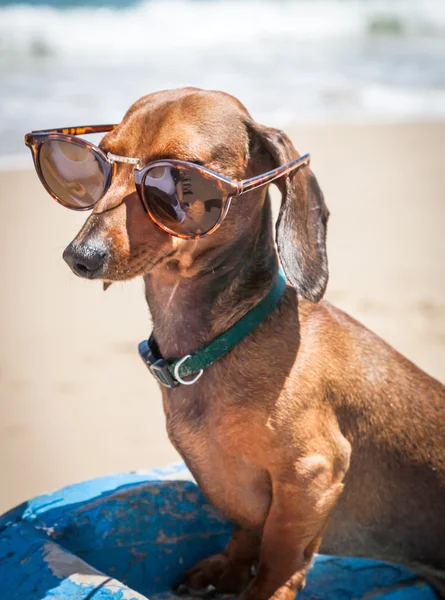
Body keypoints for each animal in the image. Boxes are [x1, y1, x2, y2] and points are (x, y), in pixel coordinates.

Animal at [59, 89, 444, 600]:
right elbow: (245, 529)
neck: (217, 346)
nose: (79, 257)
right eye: (101, 159)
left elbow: (279, 553)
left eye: (177, 178)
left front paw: (264, 589)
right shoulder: (231, 484)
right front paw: (230, 568)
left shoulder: (313, 475)